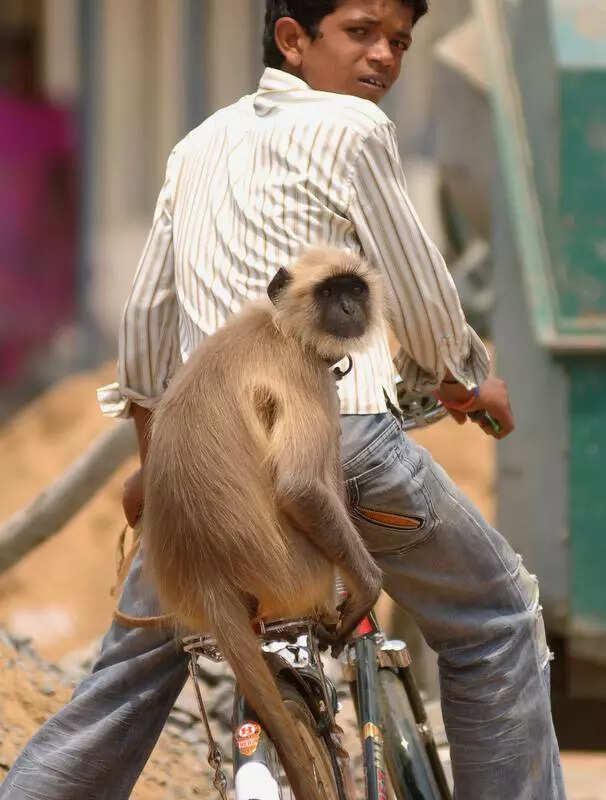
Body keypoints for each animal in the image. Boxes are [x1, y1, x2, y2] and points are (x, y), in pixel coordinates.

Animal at [141, 247, 384, 800]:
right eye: (328, 292)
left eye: (354, 289)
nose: (347, 307)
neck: (281, 326)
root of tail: (206, 577)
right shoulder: (306, 373)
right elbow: (300, 487)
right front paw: (368, 584)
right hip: (298, 575)